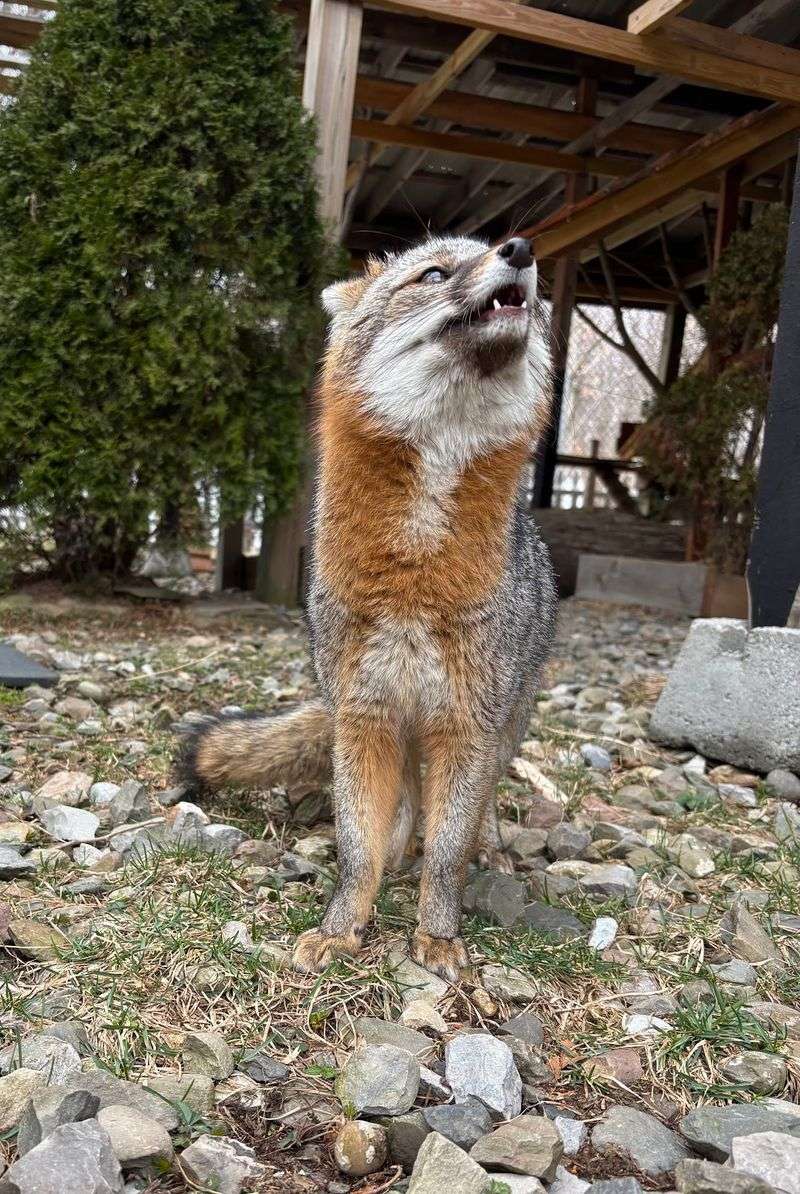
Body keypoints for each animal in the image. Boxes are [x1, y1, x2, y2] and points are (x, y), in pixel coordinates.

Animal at [181, 234, 558, 981]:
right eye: (435, 274)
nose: (521, 248)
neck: (414, 571)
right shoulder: (365, 718)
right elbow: (358, 847)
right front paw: (343, 925)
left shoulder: (465, 727)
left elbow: (449, 854)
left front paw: (437, 934)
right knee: (406, 804)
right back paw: (399, 844)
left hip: (500, 727)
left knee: (476, 809)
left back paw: (484, 846)